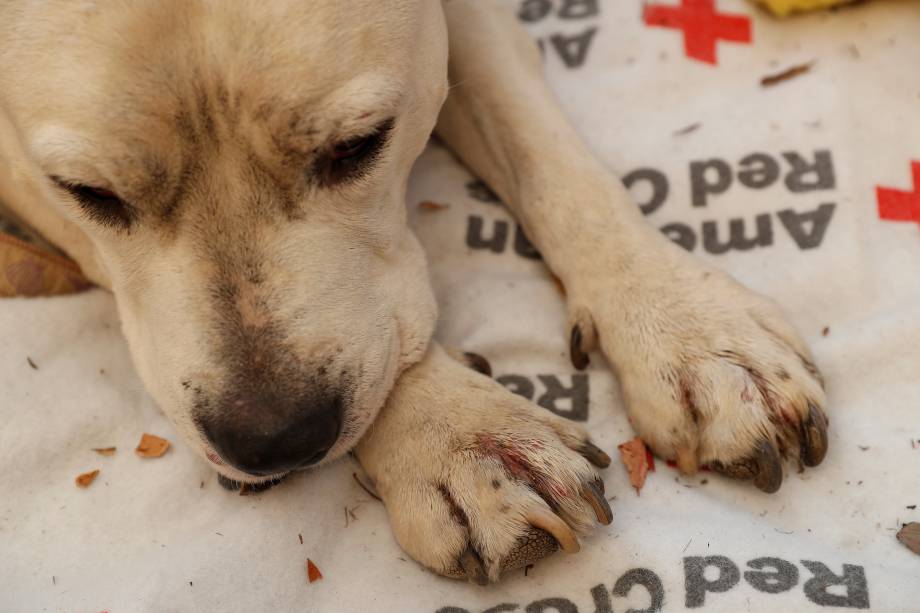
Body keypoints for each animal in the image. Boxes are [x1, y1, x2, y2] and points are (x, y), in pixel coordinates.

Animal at [0, 0, 832, 584]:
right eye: (85, 192)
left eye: (358, 145)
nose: (275, 435)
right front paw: (460, 436)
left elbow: (541, 146)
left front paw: (686, 327)